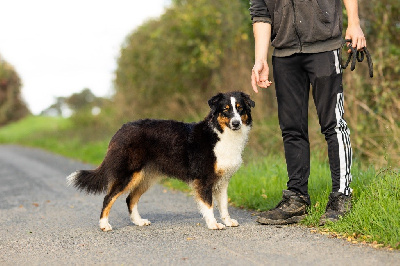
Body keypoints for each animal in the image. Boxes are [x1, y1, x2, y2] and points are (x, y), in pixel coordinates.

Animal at [65, 91, 253, 231]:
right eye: (226, 110)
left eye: (240, 109)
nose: (236, 123)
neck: (220, 135)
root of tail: (121, 130)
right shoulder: (204, 179)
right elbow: (208, 205)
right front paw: (213, 224)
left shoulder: (223, 180)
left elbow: (224, 205)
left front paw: (227, 221)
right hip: (128, 174)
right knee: (108, 197)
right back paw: (104, 225)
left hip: (146, 177)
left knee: (130, 199)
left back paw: (139, 222)